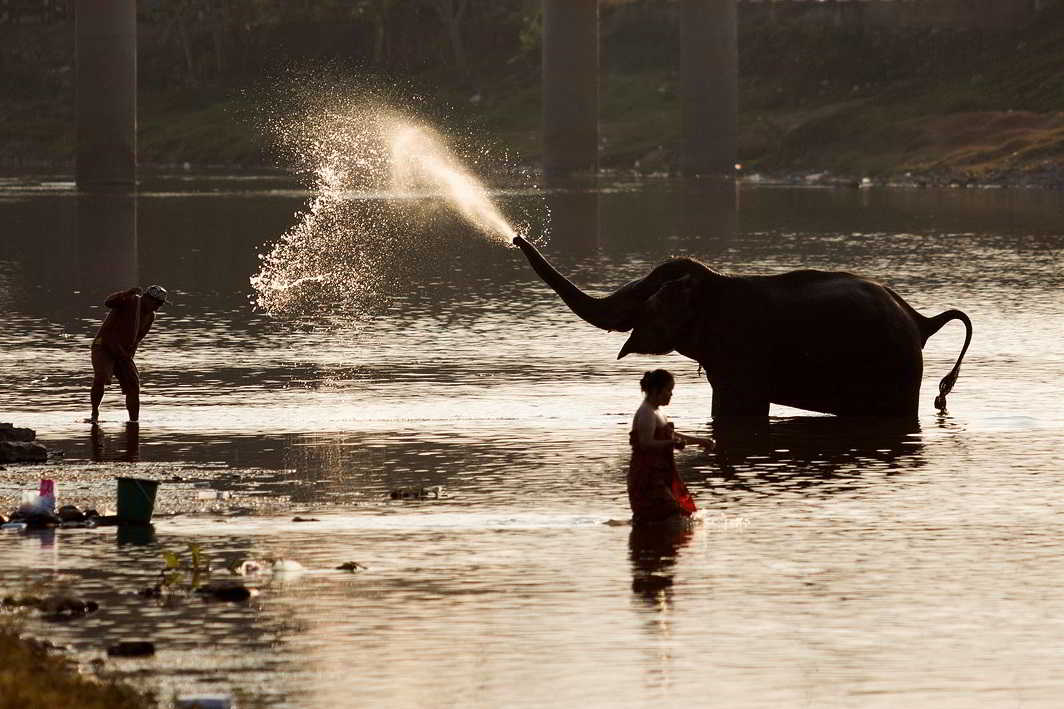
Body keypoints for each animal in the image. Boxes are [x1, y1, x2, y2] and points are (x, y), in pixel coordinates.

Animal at [514, 234, 974, 417]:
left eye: (641, 298)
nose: (516, 238)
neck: (714, 280)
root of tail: (921, 319)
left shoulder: (742, 349)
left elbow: (739, 410)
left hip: (894, 371)